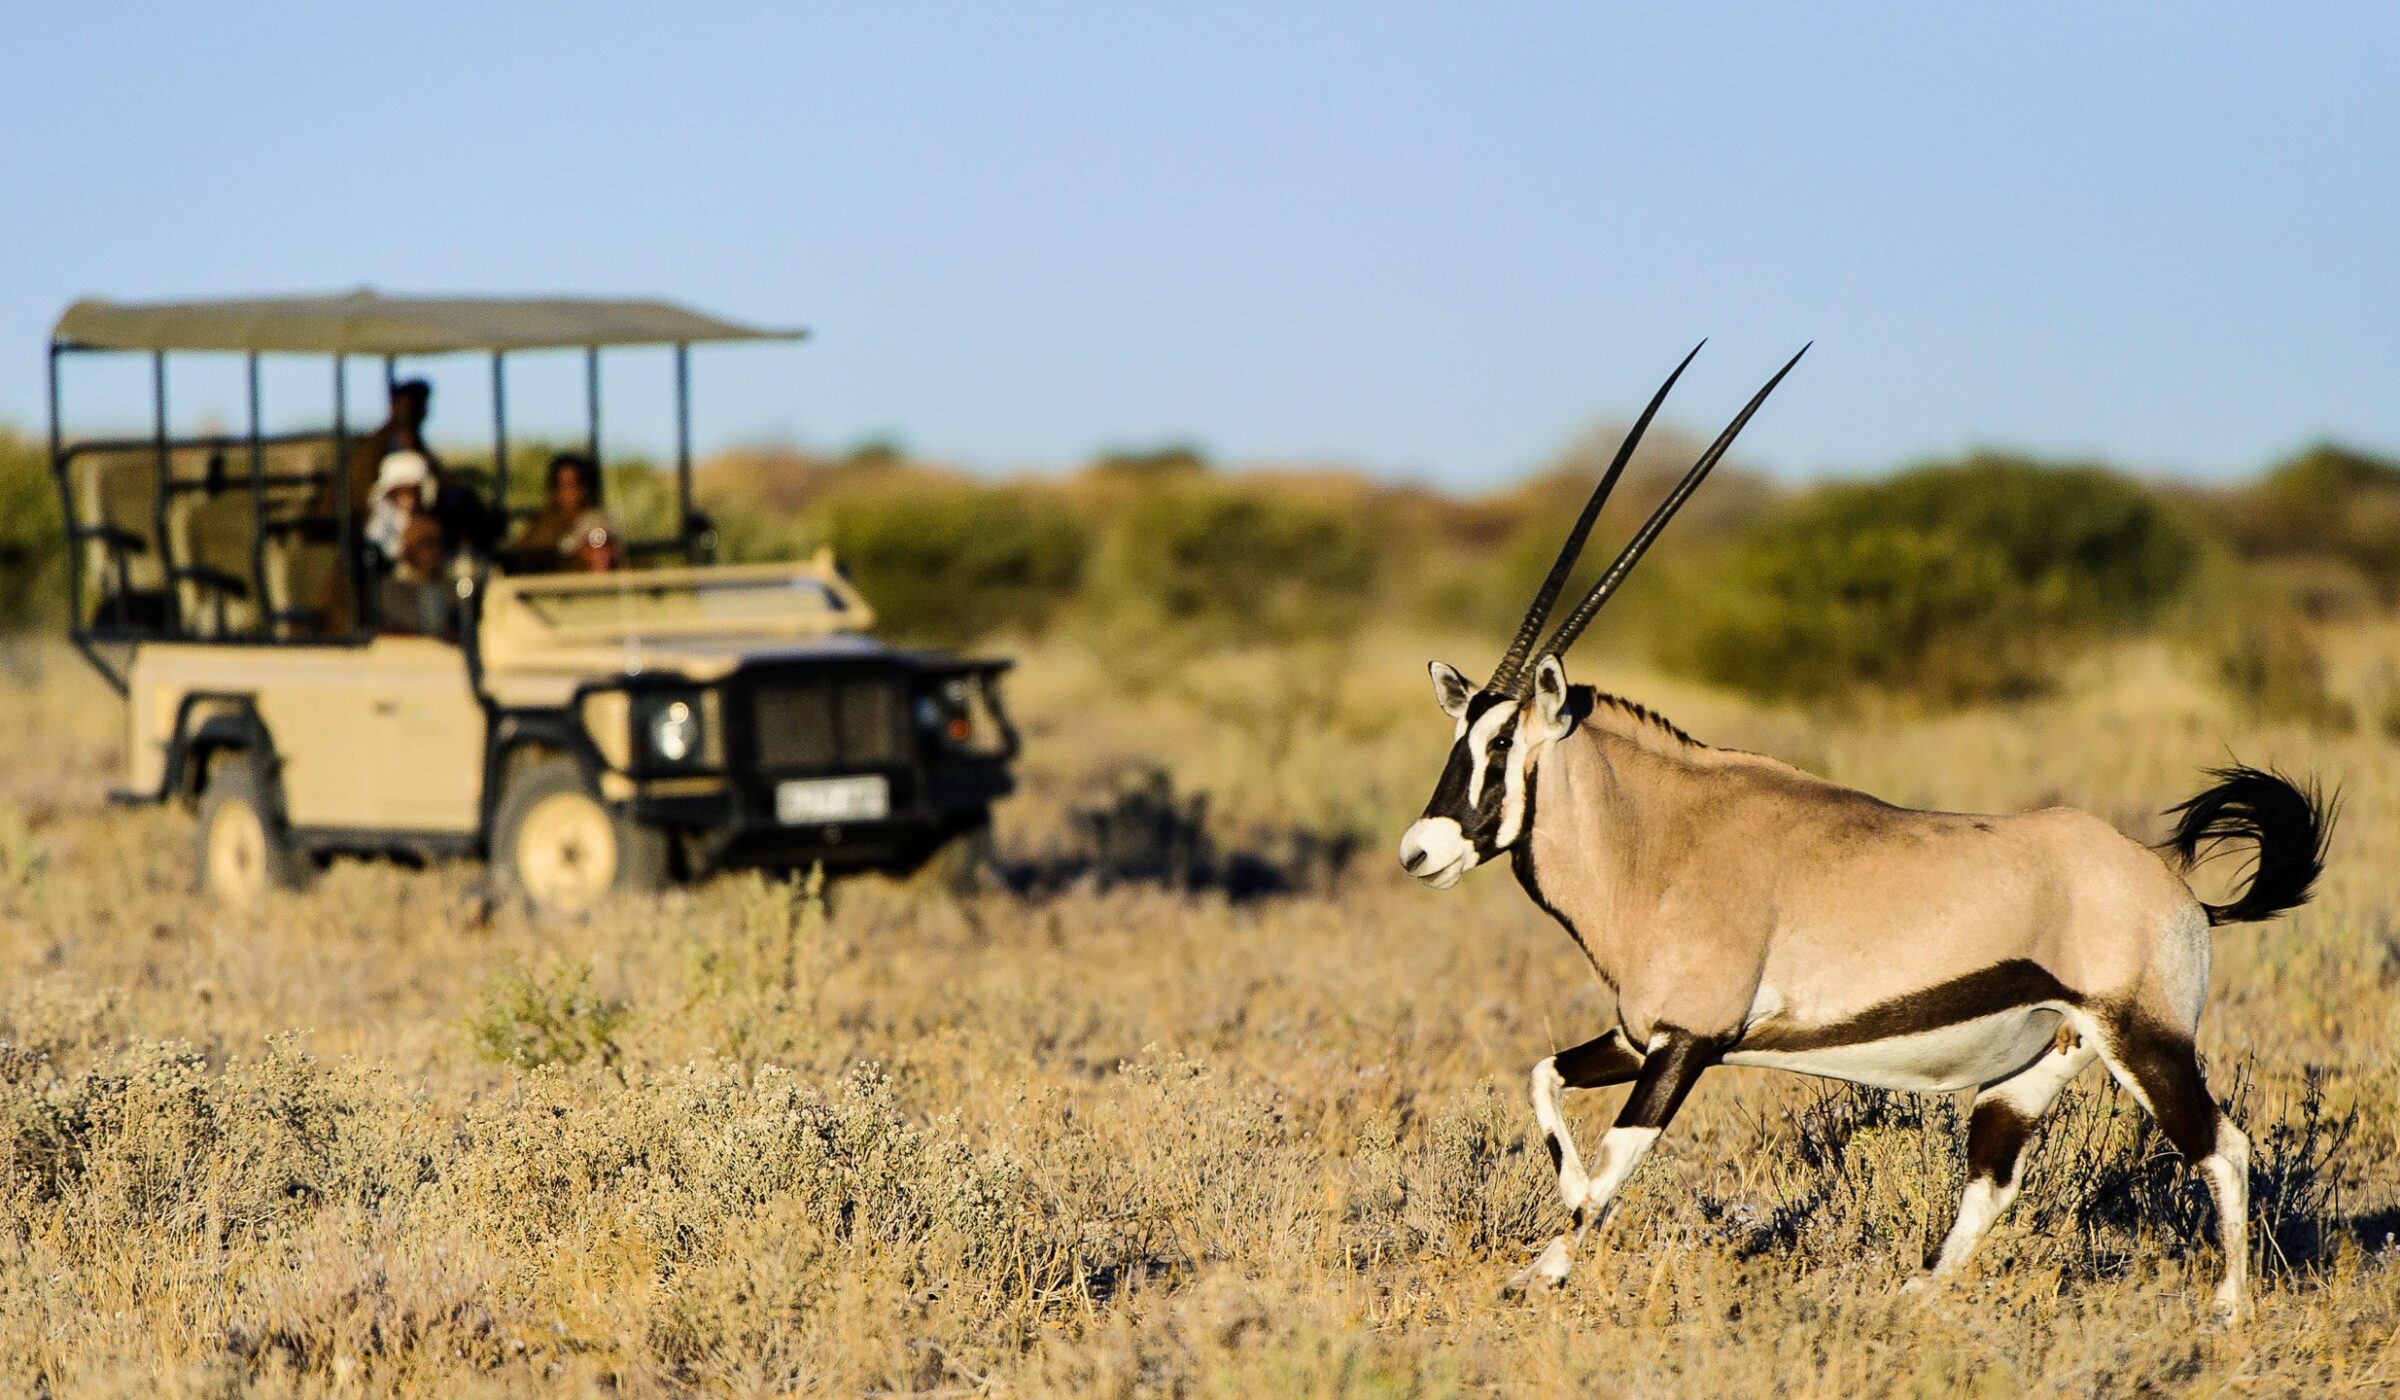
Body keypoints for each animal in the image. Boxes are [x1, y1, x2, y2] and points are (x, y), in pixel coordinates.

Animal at [1397, 345, 2331, 1319]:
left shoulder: (1687, 1042)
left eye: (1503, 744)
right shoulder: (1638, 1033)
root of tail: (2181, 894)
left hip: (2146, 1043)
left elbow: (1616, 1166)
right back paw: (1915, 1296)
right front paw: (1556, 1226)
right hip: (2037, 1066)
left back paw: (2228, 1310)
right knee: (1995, 1178)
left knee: (2222, 1146)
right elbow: (1543, 1080)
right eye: (1460, 736)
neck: (1660, 840)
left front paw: (1542, 1268)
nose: (1420, 851)